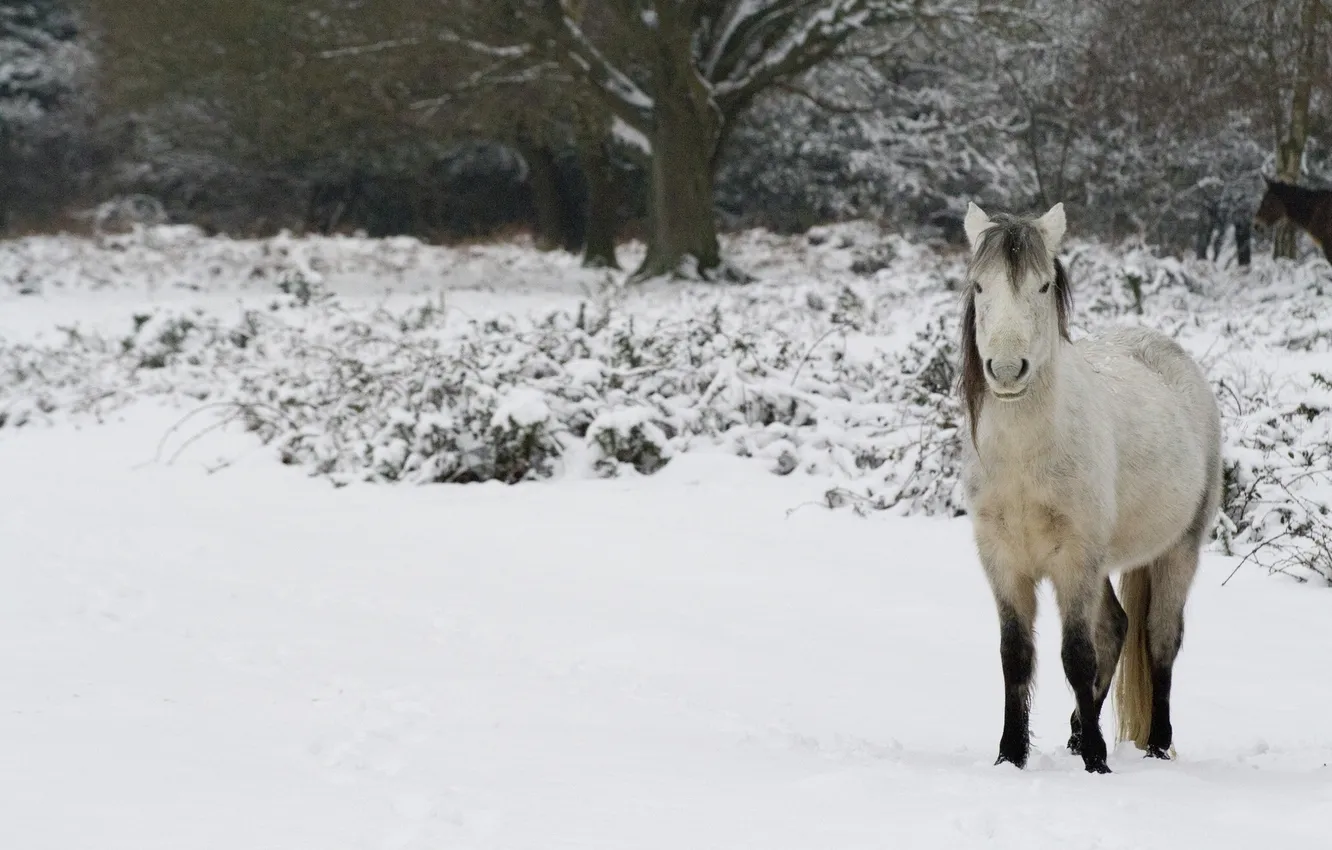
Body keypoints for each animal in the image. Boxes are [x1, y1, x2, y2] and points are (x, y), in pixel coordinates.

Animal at [953, 202, 1220, 778]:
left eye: (1043, 285)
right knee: (1117, 628)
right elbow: (1016, 656)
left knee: (1158, 639)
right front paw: (1011, 754)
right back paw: (1078, 733)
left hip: (1178, 551)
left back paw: (1155, 745)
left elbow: (1077, 655)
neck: (1025, 461)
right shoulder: (1003, 561)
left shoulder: (1075, 560)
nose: (1006, 370)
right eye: (980, 286)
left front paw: (1098, 761)